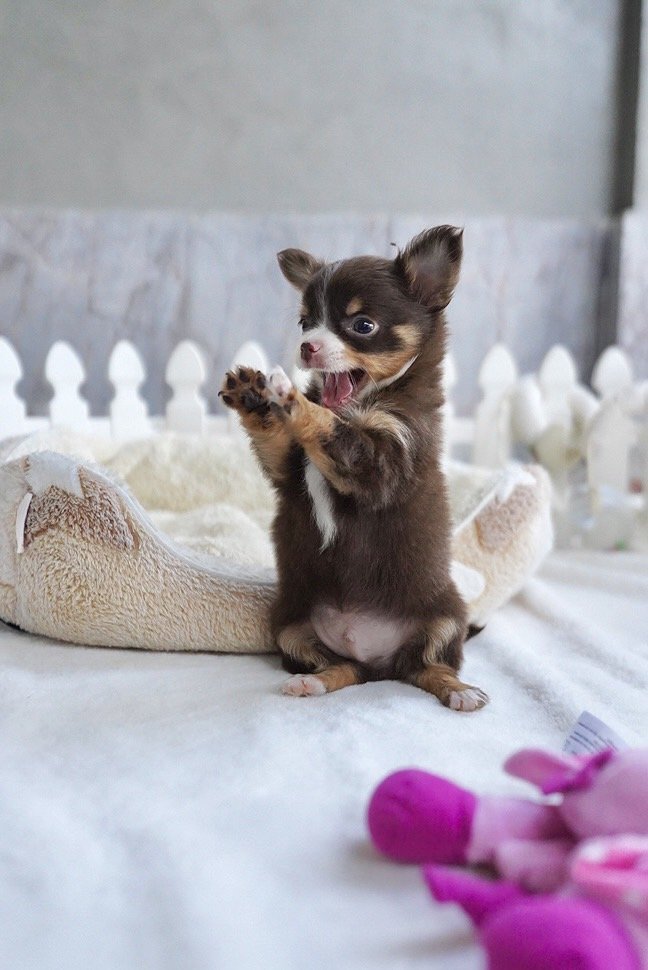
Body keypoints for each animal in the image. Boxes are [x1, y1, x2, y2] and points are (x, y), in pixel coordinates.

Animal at [219, 225, 488, 711]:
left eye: (363, 325)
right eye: (305, 323)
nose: (306, 347)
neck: (359, 405)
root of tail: (380, 662)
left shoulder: (382, 462)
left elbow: (330, 428)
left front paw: (290, 396)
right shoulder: (289, 470)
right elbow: (279, 435)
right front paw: (255, 397)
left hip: (445, 617)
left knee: (429, 667)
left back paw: (460, 691)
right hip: (291, 627)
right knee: (344, 668)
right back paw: (313, 683)